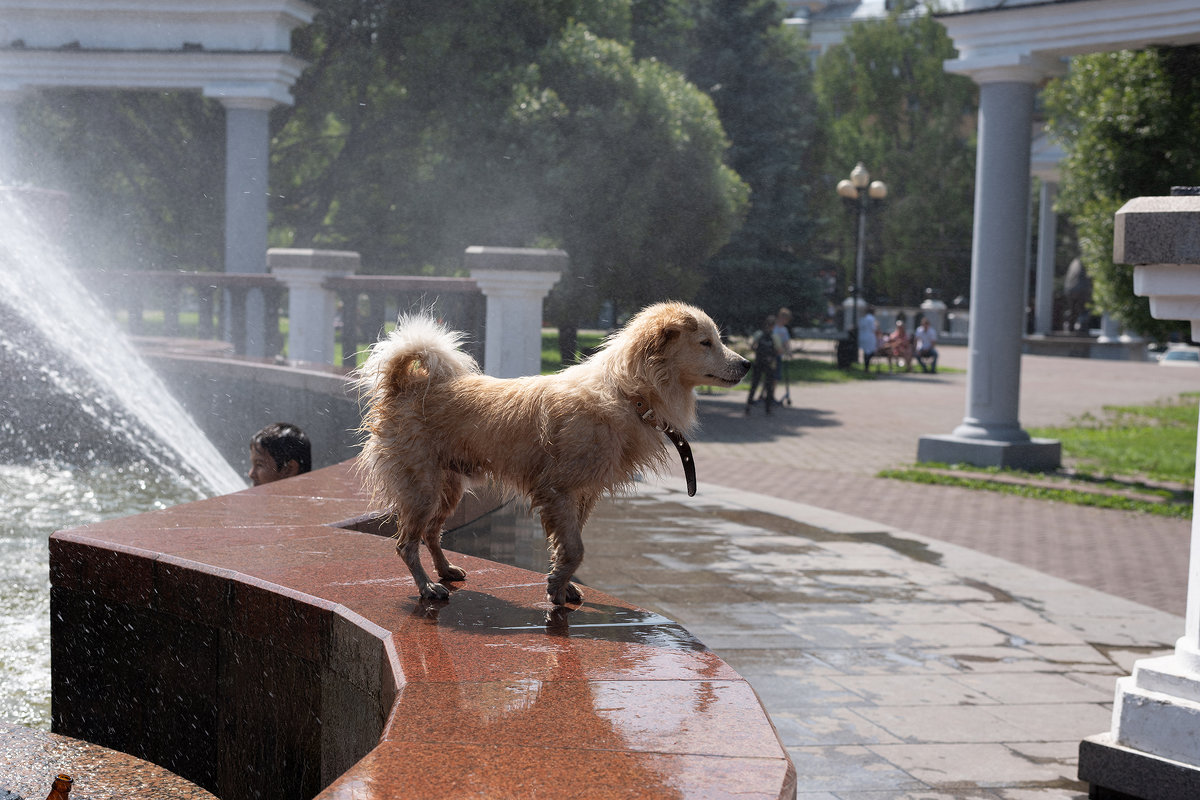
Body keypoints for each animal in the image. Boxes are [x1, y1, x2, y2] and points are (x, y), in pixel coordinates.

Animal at [355, 303, 748, 604]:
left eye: (718, 340)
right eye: (706, 342)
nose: (747, 363)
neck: (628, 393)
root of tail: (404, 384)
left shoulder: (583, 495)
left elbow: (567, 545)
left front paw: (563, 583)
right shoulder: (558, 490)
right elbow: (575, 548)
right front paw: (556, 587)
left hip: (448, 488)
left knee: (431, 533)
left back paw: (445, 571)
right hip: (421, 487)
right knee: (405, 544)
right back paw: (426, 587)